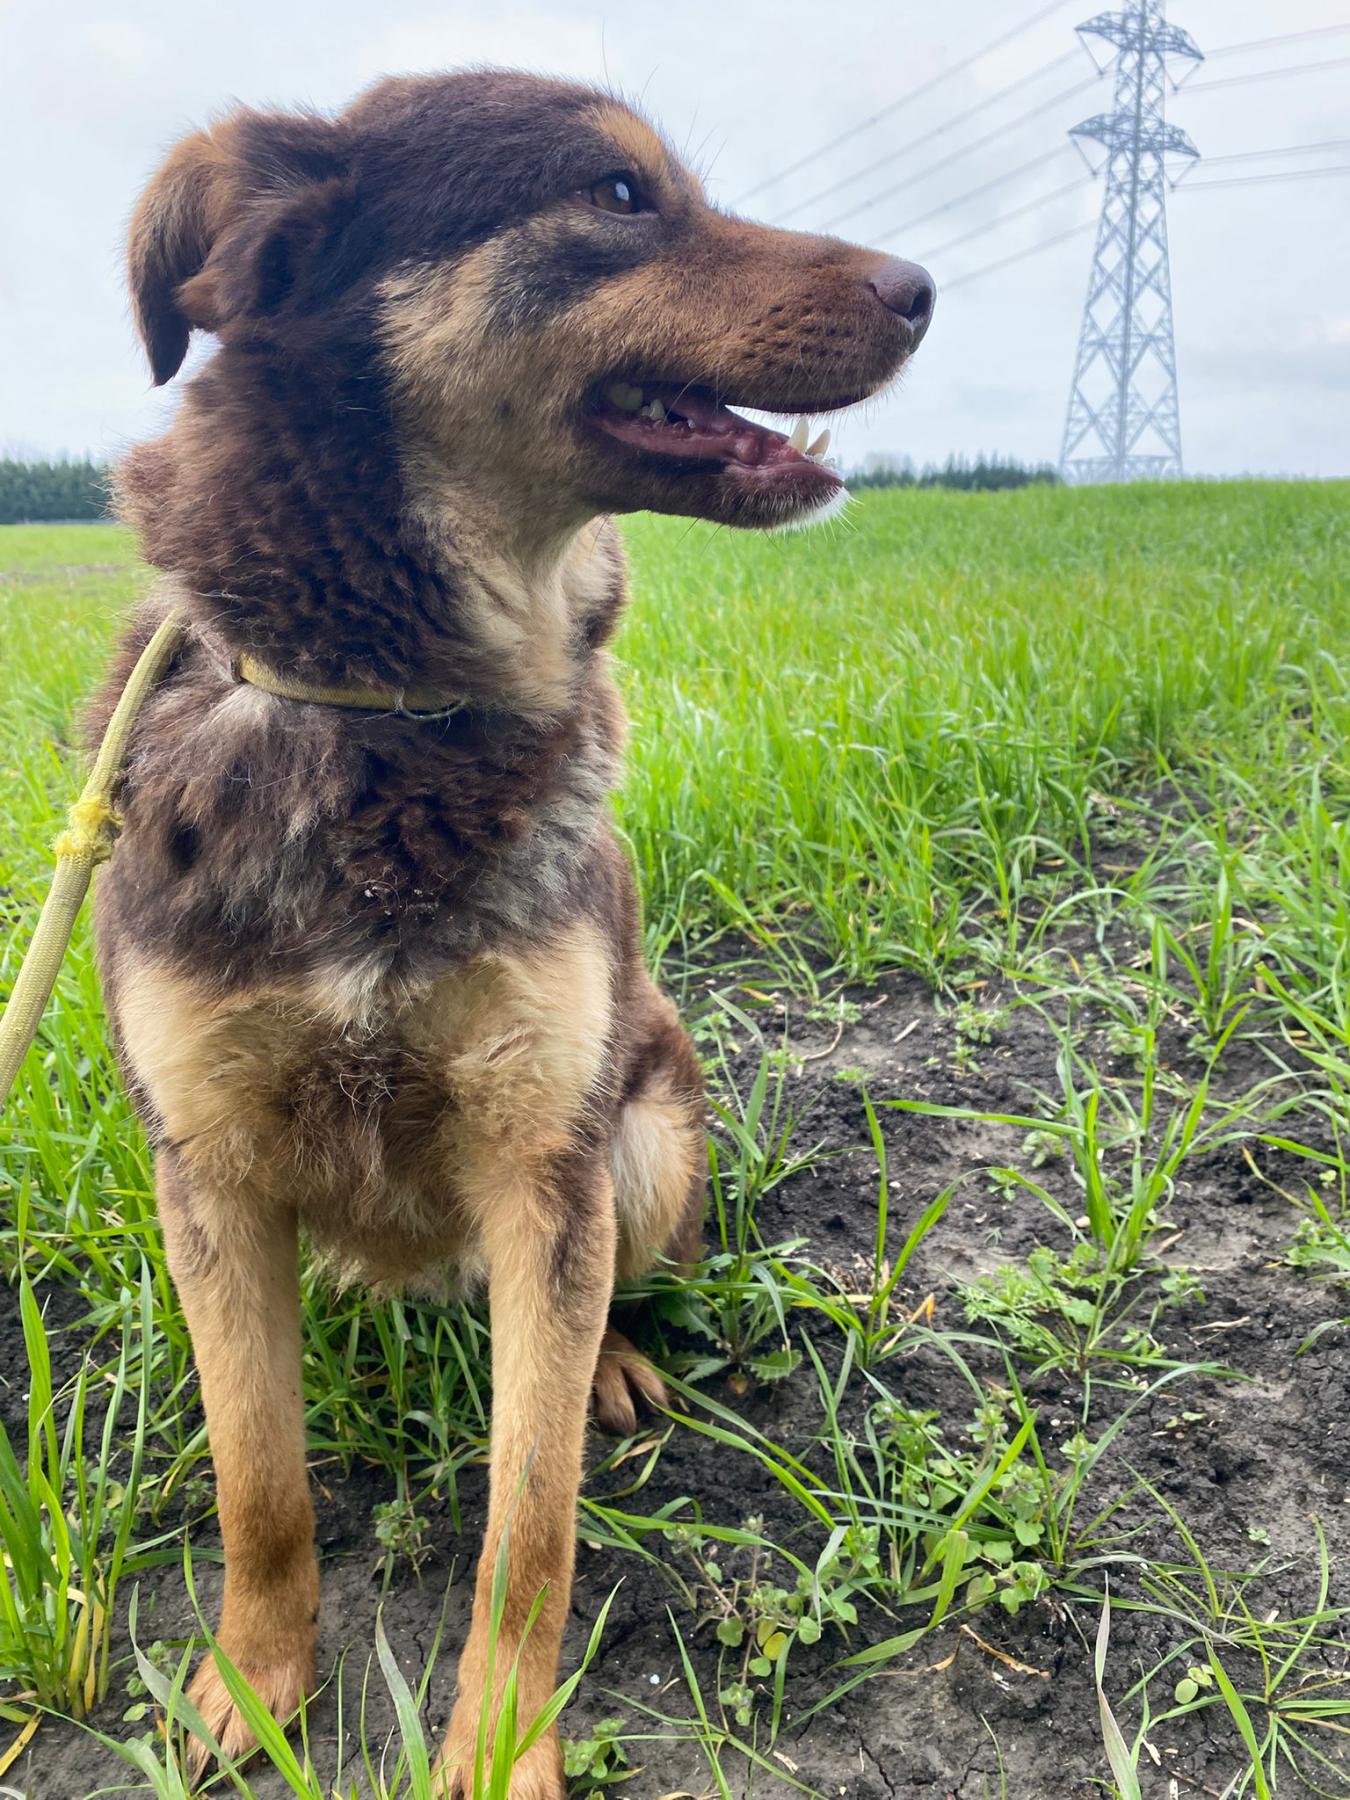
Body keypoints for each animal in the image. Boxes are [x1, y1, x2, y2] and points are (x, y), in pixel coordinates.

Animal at [93, 69, 933, 1796]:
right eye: (618, 196)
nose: (924, 289)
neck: (390, 710)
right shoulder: (207, 1170)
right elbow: (257, 1485)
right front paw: (245, 1692)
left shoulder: (547, 1156)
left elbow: (527, 1522)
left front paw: (496, 1752)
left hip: (646, 1131)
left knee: (607, 1284)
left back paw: (607, 1356)